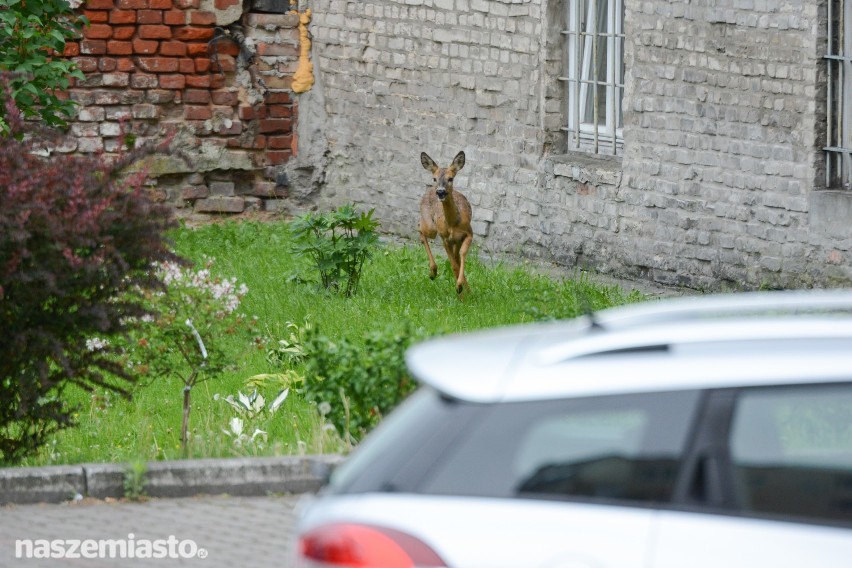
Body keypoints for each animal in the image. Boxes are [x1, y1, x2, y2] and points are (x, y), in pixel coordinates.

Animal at [420, 151, 472, 292]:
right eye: (434, 178)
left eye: (451, 178)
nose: (440, 192)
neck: (452, 224)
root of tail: (428, 190)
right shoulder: (445, 238)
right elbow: (453, 265)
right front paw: (459, 289)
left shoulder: (468, 233)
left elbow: (461, 255)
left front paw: (460, 287)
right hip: (431, 227)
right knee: (420, 230)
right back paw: (433, 272)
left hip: (454, 240)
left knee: (457, 257)